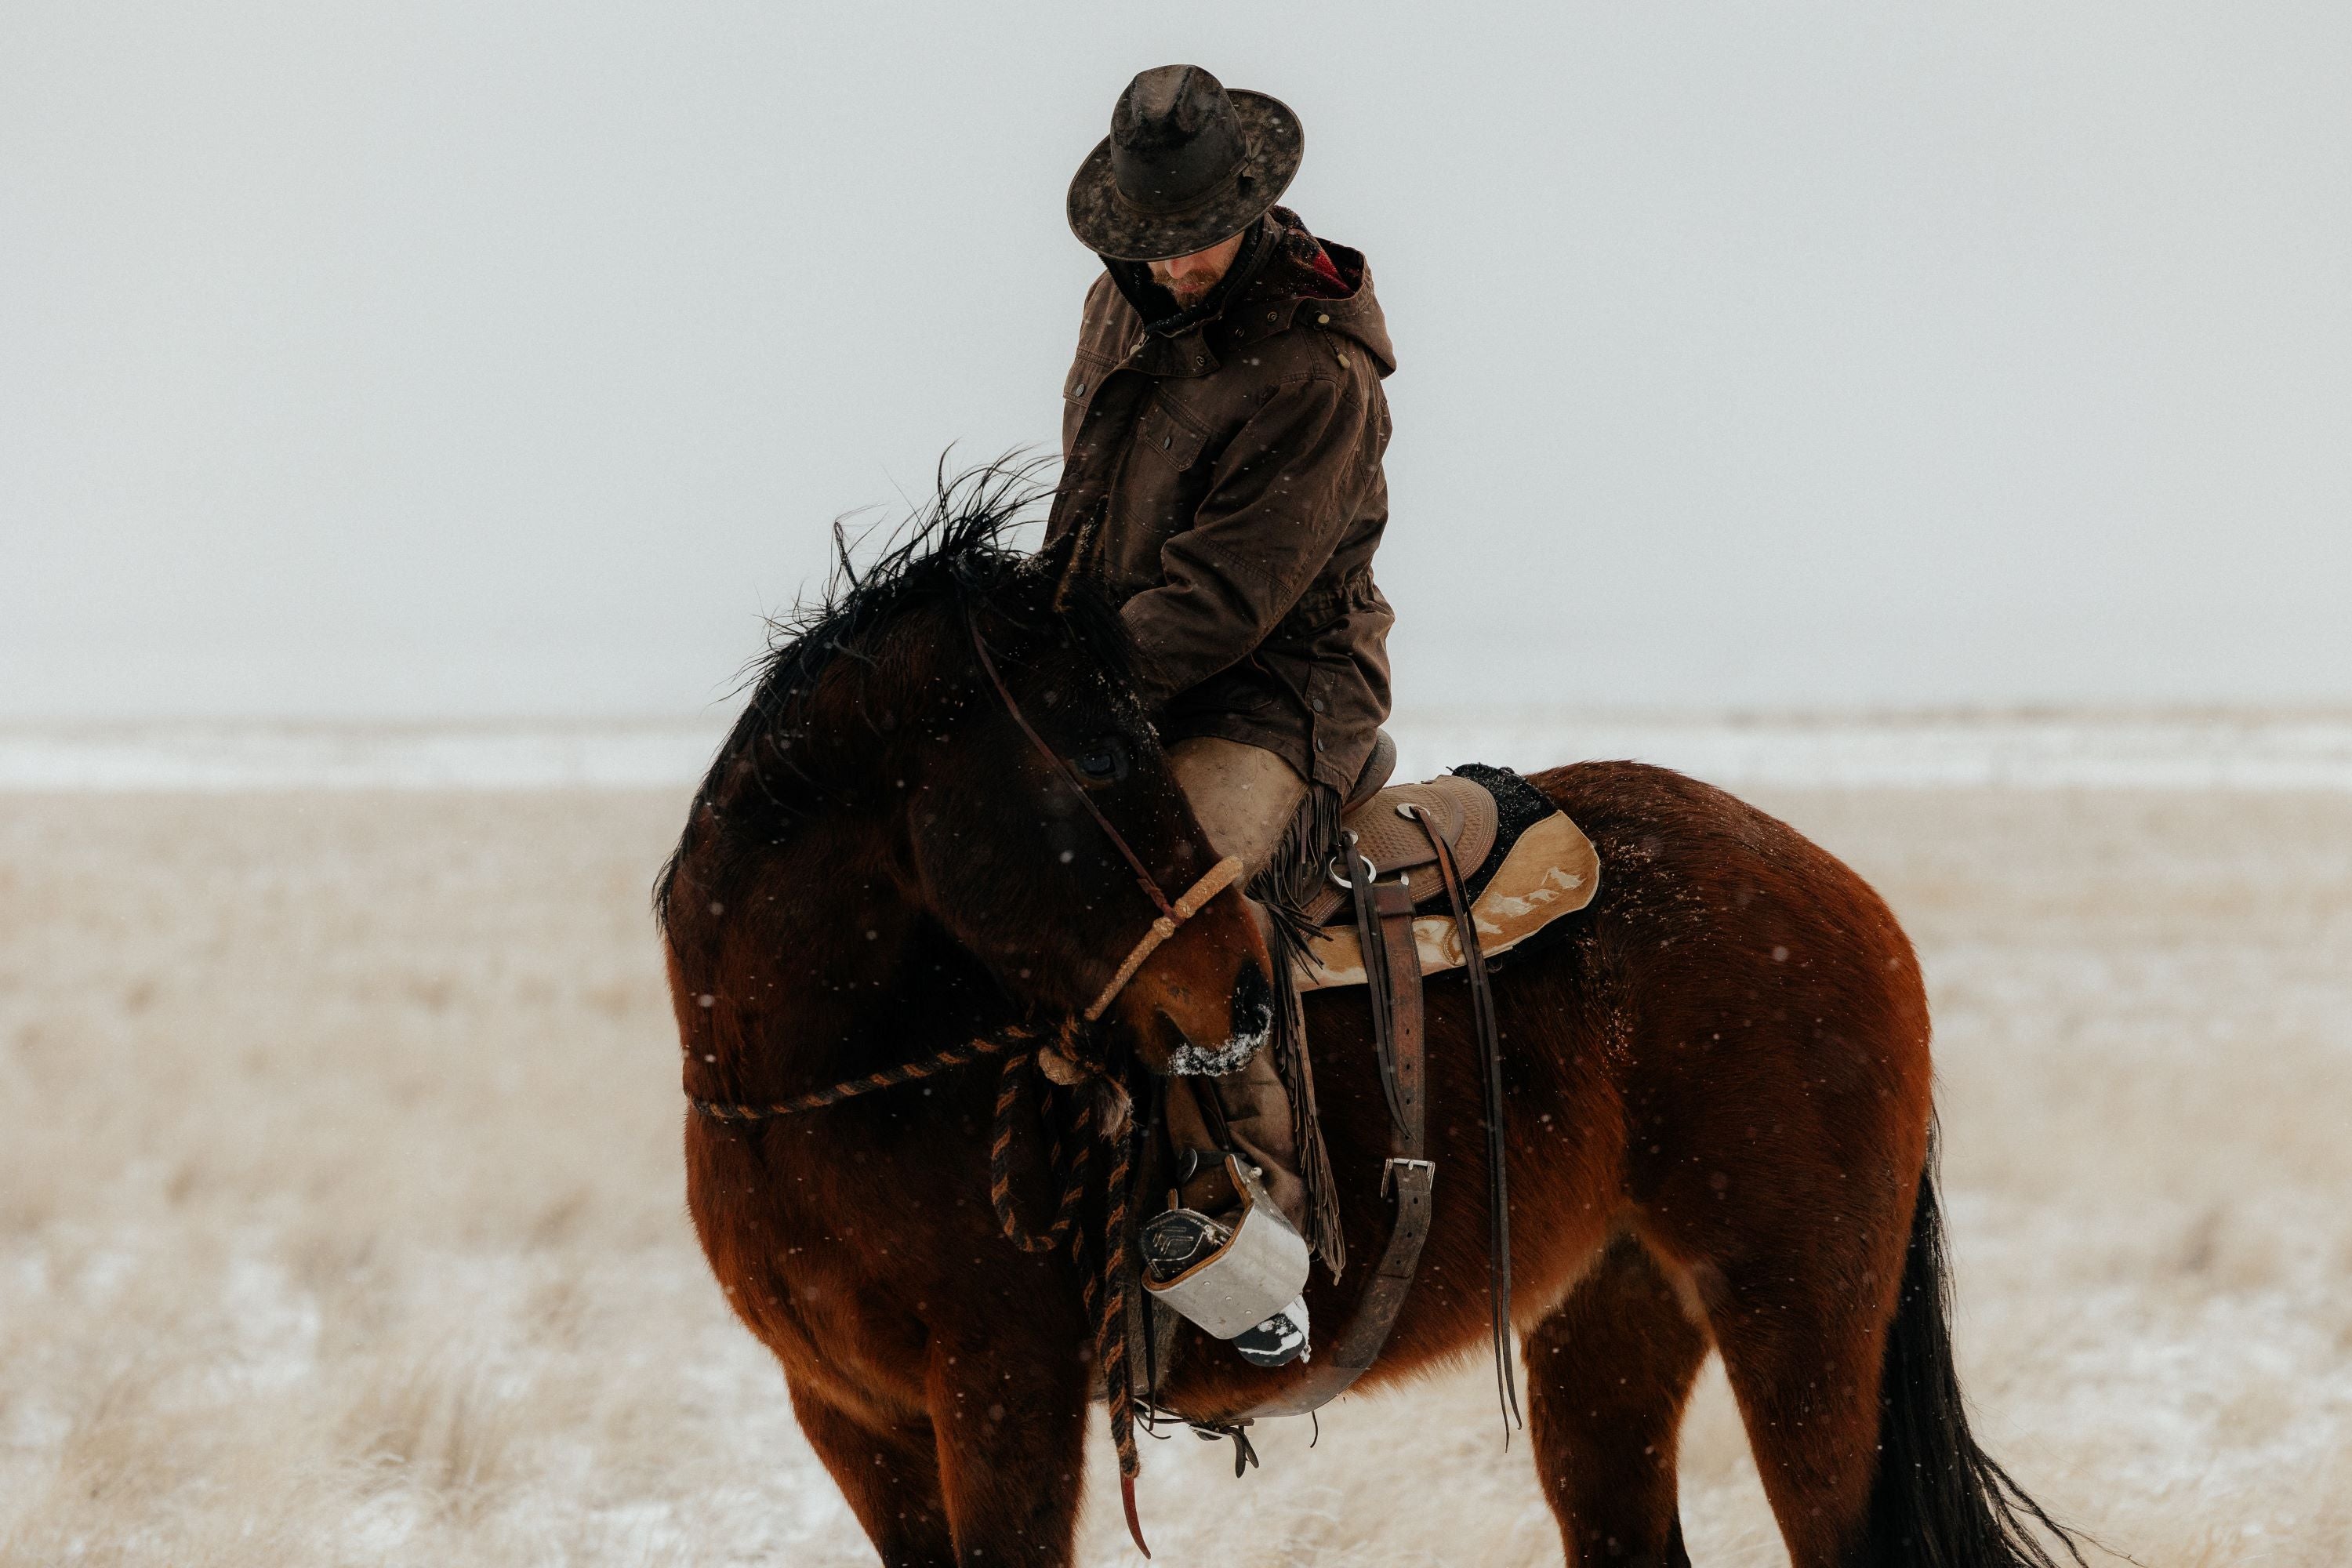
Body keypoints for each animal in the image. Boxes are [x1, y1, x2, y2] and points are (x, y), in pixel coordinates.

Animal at [659, 474, 2079, 1568]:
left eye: (1137, 741)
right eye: (1100, 755)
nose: (1241, 993)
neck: (809, 1090)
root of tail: (1837, 892)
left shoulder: (1005, 1401)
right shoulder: (851, 1419)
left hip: (1799, 1311)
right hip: (1613, 1318)